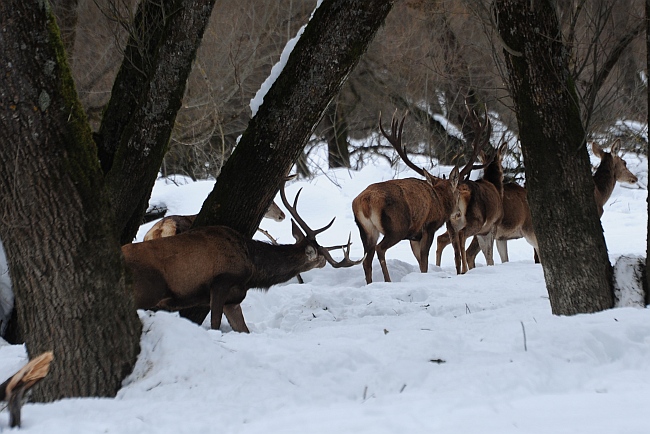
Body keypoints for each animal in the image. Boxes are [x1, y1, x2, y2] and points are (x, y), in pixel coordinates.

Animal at [350, 110, 470, 284]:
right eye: (458, 192)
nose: (458, 213)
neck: (440, 201)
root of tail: (365, 202)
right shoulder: (429, 226)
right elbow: (424, 260)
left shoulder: (414, 236)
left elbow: (420, 261)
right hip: (396, 227)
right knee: (380, 249)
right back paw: (388, 281)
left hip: (367, 230)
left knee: (366, 259)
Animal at [432, 107, 504, 274]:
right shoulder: (491, 226)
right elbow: (489, 257)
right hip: (475, 222)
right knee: (462, 238)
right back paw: (464, 270)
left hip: (450, 225)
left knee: (454, 247)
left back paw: (459, 270)